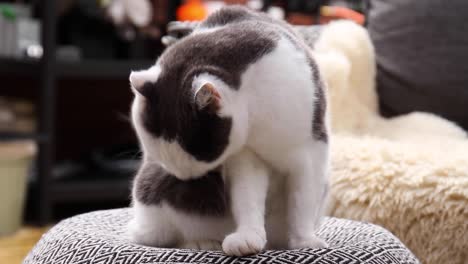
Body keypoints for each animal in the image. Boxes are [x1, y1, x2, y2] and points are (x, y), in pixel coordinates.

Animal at [128, 5, 330, 256]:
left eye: (202, 155)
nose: (189, 179)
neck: (258, 114)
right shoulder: (247, 156)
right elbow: (247, 198)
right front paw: (248, 238)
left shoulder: (309, 152)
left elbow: (302, 202)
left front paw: (304, 241)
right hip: (152, 190)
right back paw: (202, 241)